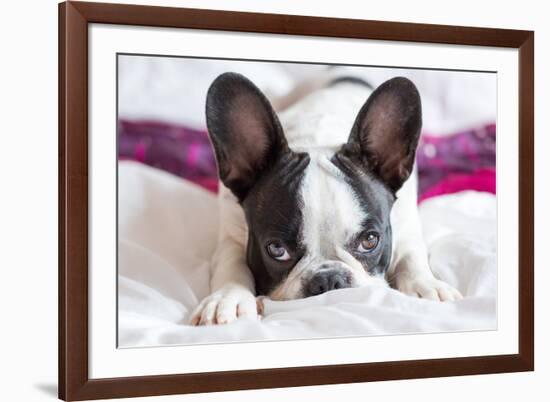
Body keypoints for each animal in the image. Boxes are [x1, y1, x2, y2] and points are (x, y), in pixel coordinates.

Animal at [190, 71, 462, 326]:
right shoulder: (230, 235)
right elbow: (232, 262)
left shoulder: (404, 227)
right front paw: (228, 298)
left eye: (370, 241)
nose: (329, 279)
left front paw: (426, 286)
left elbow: (410, 257)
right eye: (277, 249)